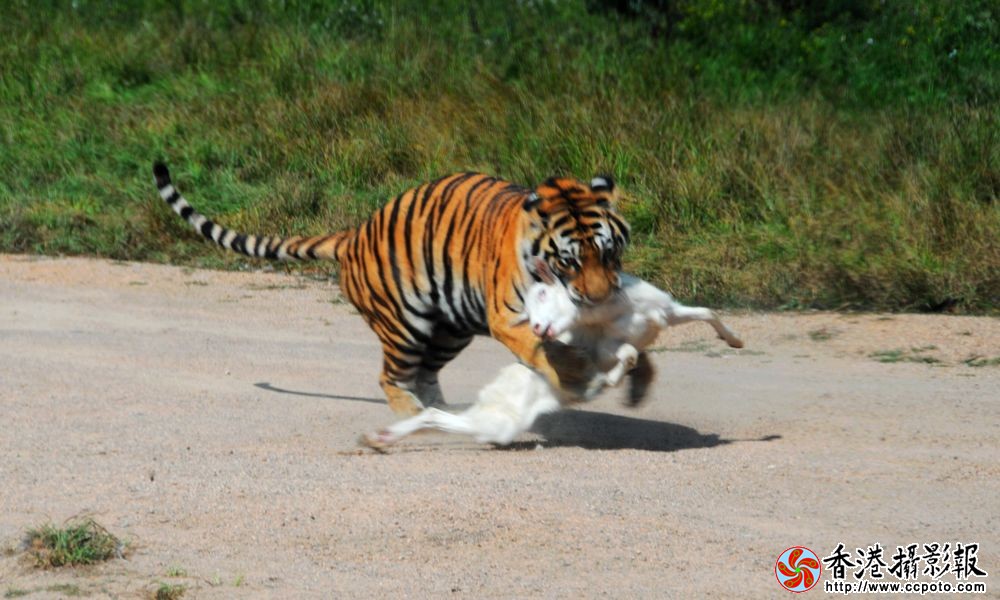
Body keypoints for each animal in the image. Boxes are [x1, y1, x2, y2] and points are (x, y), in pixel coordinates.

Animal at [153, 163, 630, 415]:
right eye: (569, 261)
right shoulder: (507, 318)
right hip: (405, 326)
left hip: (450, 330)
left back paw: (442, 413)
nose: (600, 298)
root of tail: (353, 235)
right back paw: (414, 416)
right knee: (391, 376)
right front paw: (573, 377)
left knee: (425, 374)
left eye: (608, 253)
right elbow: (544, 351)